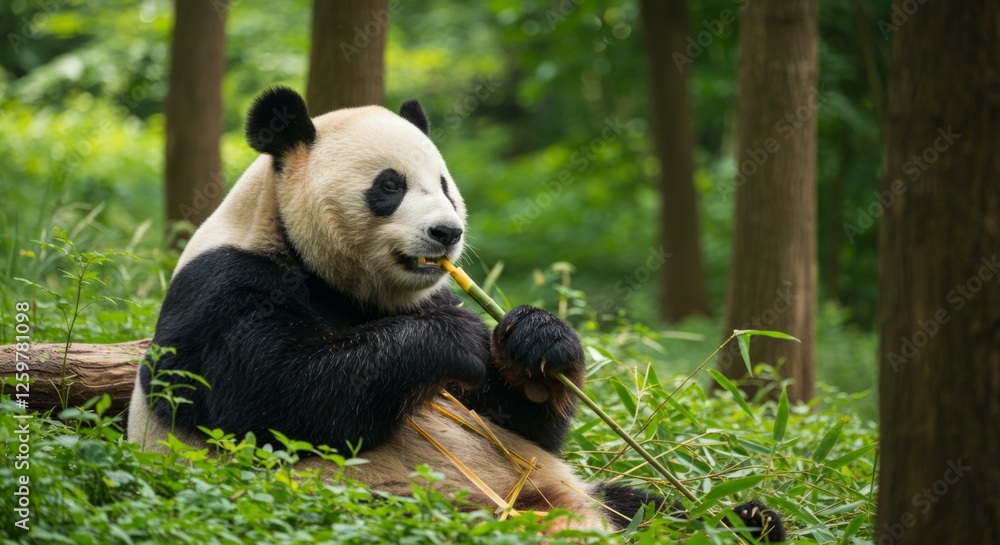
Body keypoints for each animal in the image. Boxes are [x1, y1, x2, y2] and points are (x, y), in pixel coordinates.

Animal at [127, 86, 785, 540]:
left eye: (443, 183)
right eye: (389, 185)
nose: (448, 233)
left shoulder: (429, 291)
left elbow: (515, 419)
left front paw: (535, 341)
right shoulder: (224, 286)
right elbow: (266, 397)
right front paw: (454, 337)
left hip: (578, 493)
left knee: (650, 507)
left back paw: (752, 519)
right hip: (388, 506)